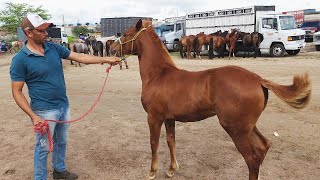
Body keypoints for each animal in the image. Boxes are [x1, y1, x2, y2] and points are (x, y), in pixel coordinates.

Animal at [110, 19, 312, 180]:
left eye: (126, 34)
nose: (112, 48)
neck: (159, 75)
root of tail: (257, 79)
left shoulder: (154, 117)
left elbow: (154, 143)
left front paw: (152, 172)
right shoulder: (169, 118)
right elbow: (170, 141)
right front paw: (171, 169)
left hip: (236, 129)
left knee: (252, 158)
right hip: (247, 127)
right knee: (263, 146)